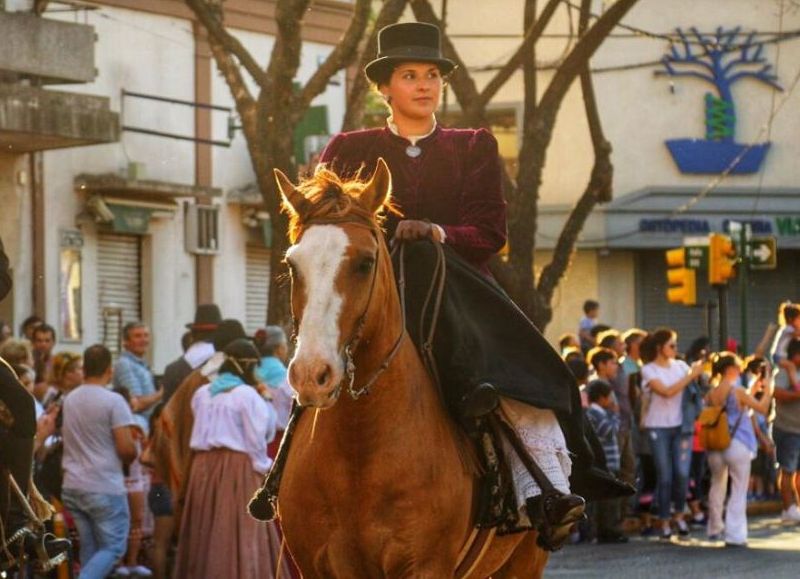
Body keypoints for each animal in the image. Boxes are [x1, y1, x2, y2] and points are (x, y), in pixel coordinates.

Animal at [276, 160, 552, 579]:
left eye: (365, 263)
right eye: (293, 265)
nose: (311, 374)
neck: (359, 449)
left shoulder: (425, 565)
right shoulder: (316, 567)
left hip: (524, 562)